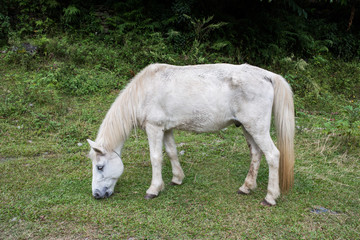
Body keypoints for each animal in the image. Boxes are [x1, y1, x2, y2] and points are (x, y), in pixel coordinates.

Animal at [88, 63, 296, 206]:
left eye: (100, 167)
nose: (96, 194)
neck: (146, 90)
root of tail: (267, 76)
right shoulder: (166, 129)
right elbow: (171, 152)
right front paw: (177, 179)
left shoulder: (154, 128)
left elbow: (155, 158)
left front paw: (154, 189)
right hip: (247, 127)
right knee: (256, 154)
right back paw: (246, 187)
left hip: (257, 128)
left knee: (273, 156)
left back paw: (270, 197)